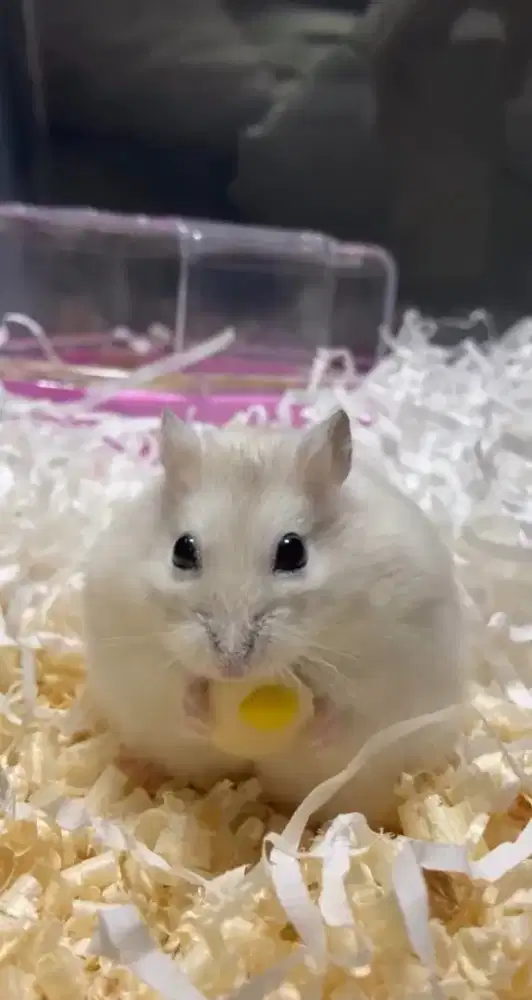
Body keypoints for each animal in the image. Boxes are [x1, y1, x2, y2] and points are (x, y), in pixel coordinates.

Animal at [82, 408, 466, 828]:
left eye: (293, 551)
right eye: (182, 550)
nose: (232, 664)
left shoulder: (389, 663)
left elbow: (347, 707)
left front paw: (315, 732)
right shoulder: (135, 656)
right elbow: (176, 691)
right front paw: (201, 714)